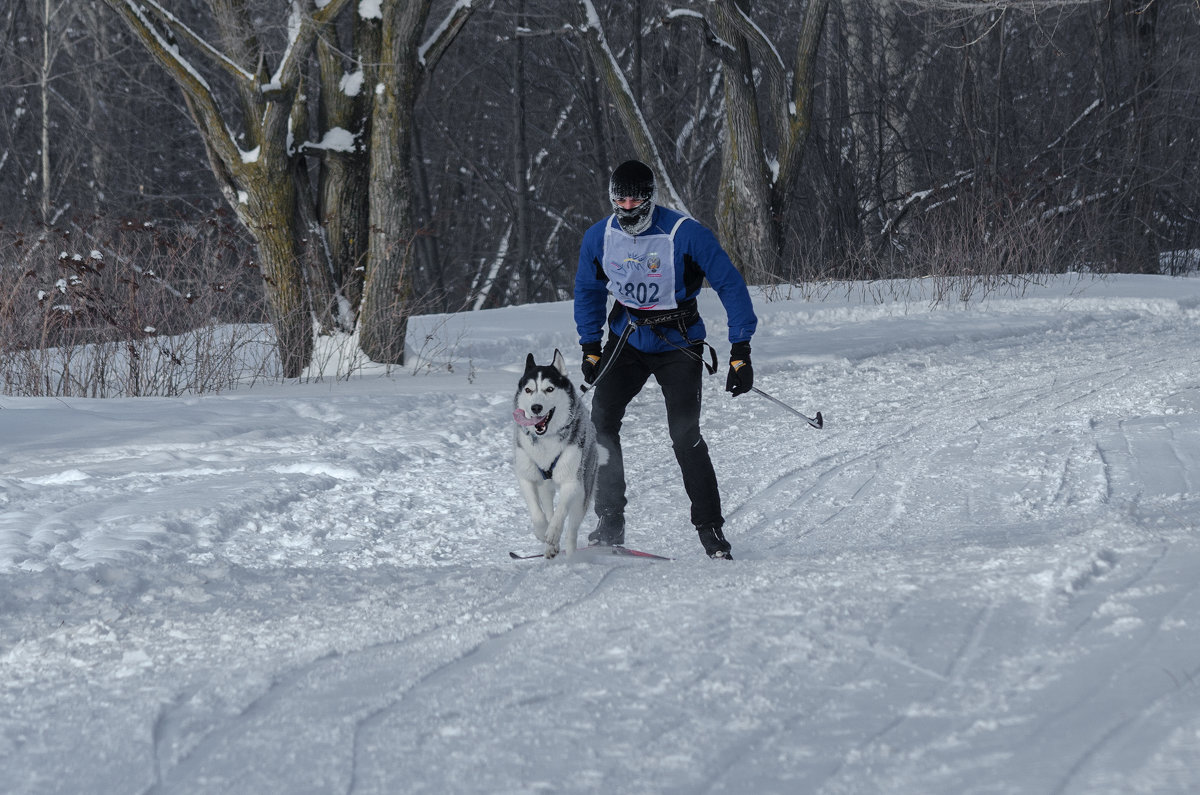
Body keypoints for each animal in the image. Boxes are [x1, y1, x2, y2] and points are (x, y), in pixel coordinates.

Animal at [508, 348, 600, 559]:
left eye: (549, 389)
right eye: (528, 390)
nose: (536, 407)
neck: (546, 440)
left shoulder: (572, 482)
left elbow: (560, 513)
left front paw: (553, 532)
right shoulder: (526, 477)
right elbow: (537, 512)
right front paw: (543, 531)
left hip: (583, 492)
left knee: (572, 529)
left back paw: (570, 555)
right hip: (546, 487)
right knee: (548, 507)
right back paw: (551, 547)